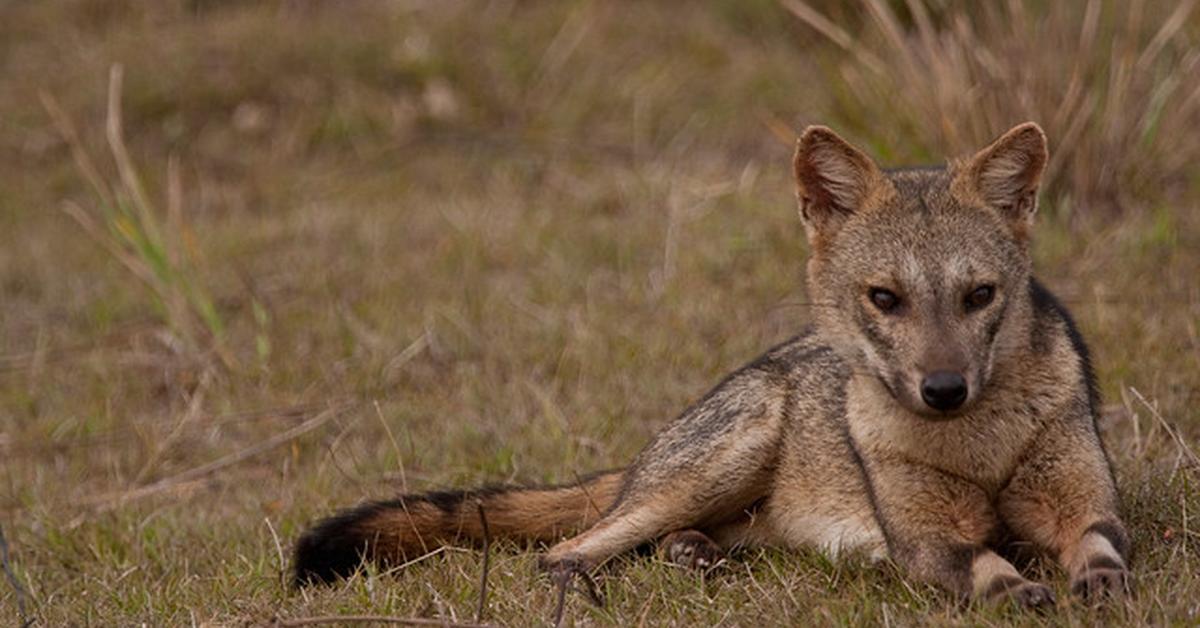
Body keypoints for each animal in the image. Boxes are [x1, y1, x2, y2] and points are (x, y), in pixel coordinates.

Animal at [295, 123, 1128, 609]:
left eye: (979, 295)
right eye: (885, 298)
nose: (945, 389)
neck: (977, 448)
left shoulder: (1085, 504)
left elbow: (1101, 547)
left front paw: (1100, 587)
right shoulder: (924, 540)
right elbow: (987, 569)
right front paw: (1022, 592)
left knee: (661, 539)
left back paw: (693, 557)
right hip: (719, 464)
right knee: (568, 549)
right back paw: (593, 587)